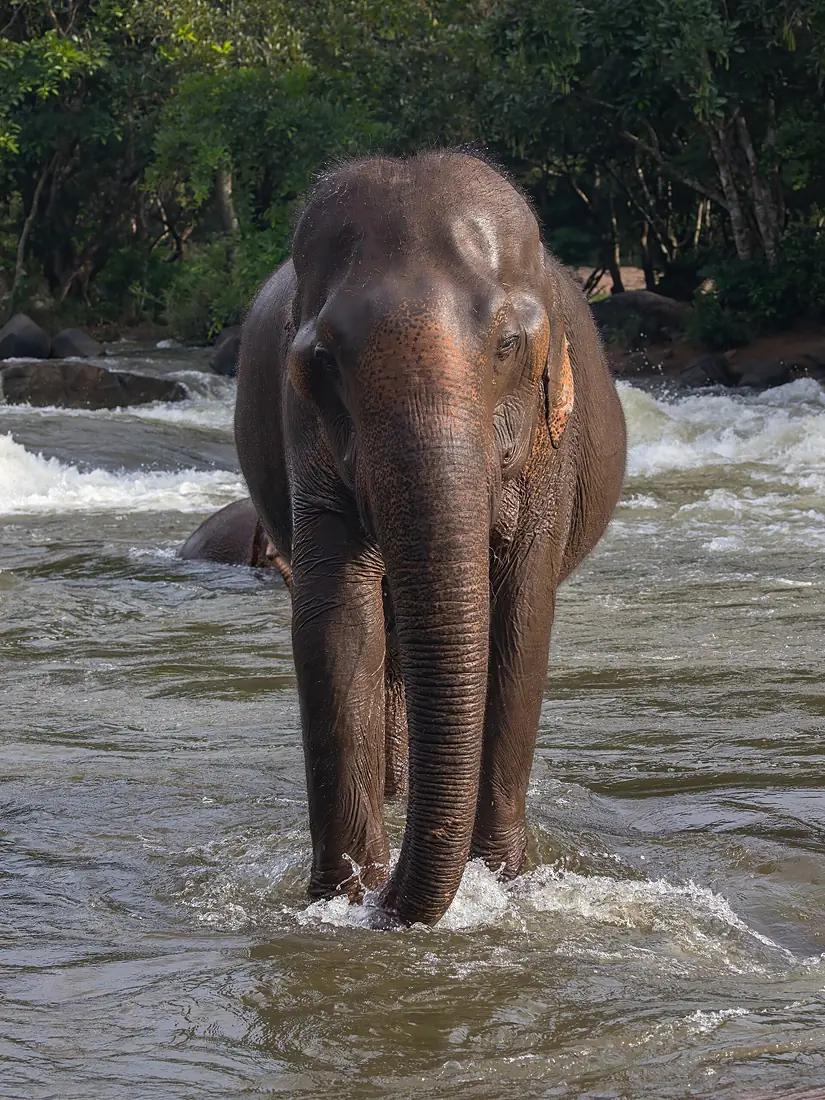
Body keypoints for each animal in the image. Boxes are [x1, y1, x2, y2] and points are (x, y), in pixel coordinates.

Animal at [235, 150, 627, 927]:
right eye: (322, 360)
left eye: (506, 345)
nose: (384, 899)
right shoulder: (304, 432)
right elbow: (335, 619)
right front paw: (342, 898)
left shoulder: (551, 451)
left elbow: (520, 616)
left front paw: (504, 879)